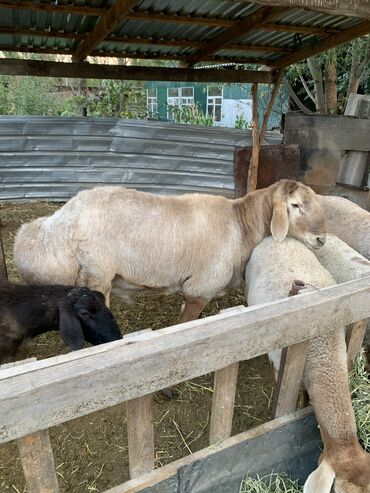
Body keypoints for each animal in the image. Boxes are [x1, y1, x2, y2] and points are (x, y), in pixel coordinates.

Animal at [13, 181, 326, 322]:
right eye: (295, 205)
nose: (322, 238)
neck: (241, 225)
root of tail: (55, 224)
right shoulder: (201, 287)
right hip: (97, 276)